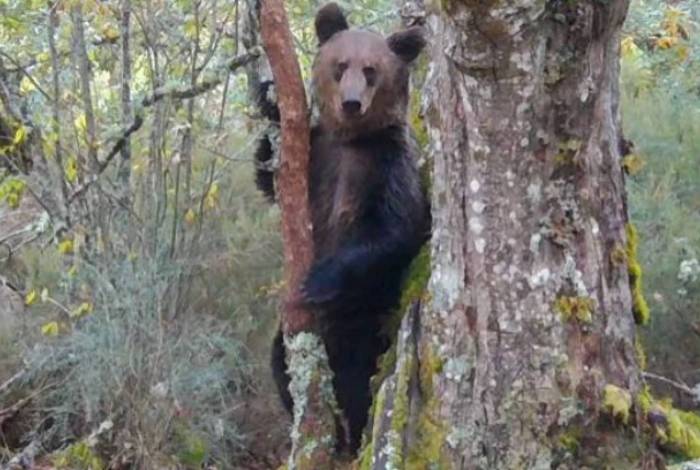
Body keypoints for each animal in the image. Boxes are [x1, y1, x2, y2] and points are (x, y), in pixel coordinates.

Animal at [255, 3, 429, 452]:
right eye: (340, 66)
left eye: (371, 70)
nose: (351, 103)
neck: (351, 140)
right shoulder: (317, 155)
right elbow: (268, 179)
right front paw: (269, 100)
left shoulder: (388, 166)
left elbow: (395, 230)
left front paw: (318, 279)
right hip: (295, 338)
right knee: (280, 361)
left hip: (366, 318)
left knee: (358, 379)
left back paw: (349, 438)